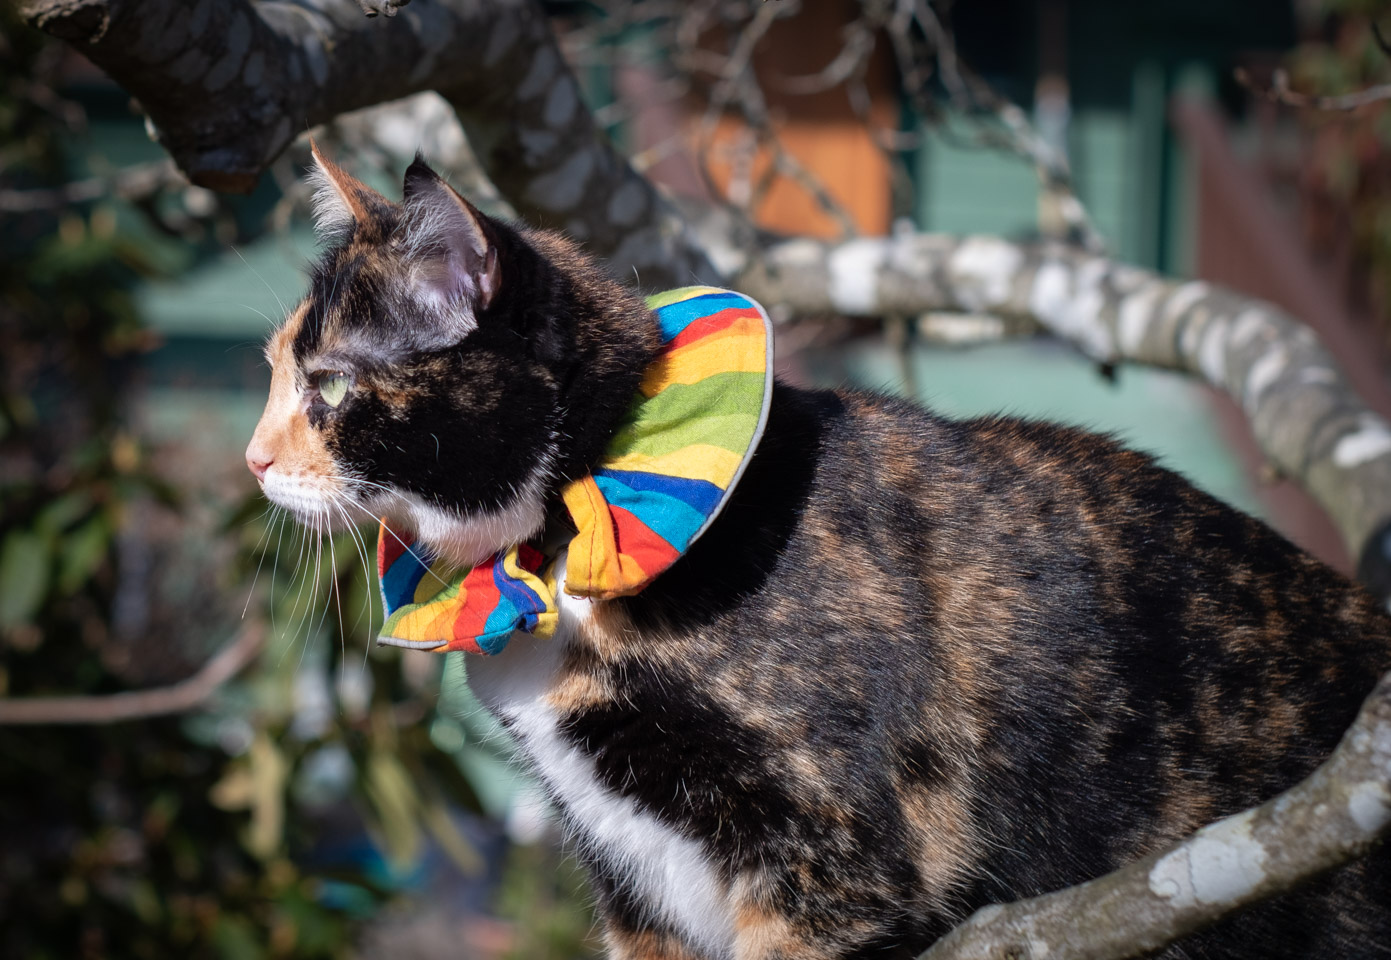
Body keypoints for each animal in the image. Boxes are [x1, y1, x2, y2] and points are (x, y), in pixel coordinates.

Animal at [247, 144, 1391, 957]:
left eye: (332, 384)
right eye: (270, 370)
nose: (253, 460)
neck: (559, 545)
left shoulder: (831, 864)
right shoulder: (635, 887)